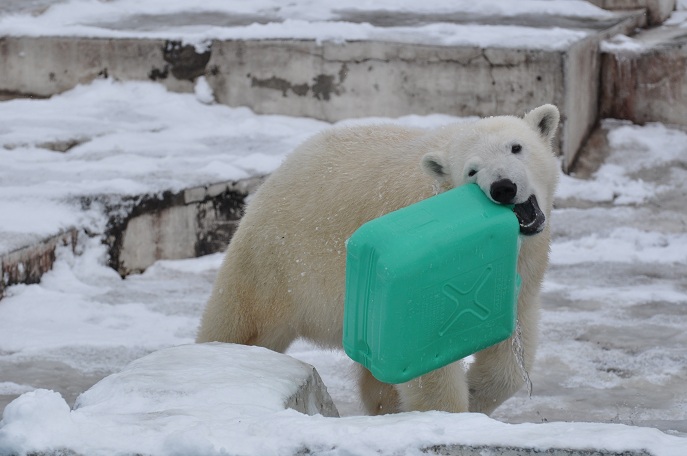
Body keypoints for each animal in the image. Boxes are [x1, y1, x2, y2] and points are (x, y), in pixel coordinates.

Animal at [196, 104, 560, 416]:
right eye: (472, 170)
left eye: (516, 147)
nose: (503, 187)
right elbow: (426, 359)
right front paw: (451, 412)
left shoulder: (523, 268)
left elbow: (512, 344)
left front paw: (475, 392)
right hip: (272, 263)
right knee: (239, 322)